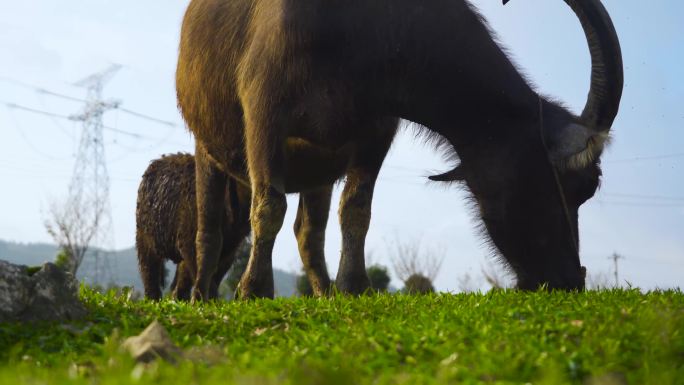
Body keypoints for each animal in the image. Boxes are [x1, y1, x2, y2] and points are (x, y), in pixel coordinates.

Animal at [135, 153, 250, 300]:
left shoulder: (231, 250)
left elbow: (215, 274)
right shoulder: (189, 241)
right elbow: (204, 271)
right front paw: (210, 299)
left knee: (180, 282)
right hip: (145, 239)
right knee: (149, 272)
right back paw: (153, 299)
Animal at [175, 0, 620, 298]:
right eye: (580, 186)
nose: (570, 279)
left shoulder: (375, 134)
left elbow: (356, 210)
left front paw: (354, 286)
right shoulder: (265, 115)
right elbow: (268, 208)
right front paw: (253, 290)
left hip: (317, 170)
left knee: (308, 234)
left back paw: (321, 292)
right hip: (207, 153)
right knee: (209, 231)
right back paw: (199, 294)